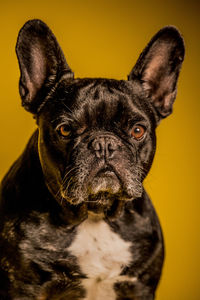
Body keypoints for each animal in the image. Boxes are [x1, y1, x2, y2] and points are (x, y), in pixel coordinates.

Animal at [0, 19, 184, 298]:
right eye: (65, 130)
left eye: (137, 130)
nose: (104, 144)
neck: (95, 214)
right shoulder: (24, 288)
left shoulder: (140, 286)